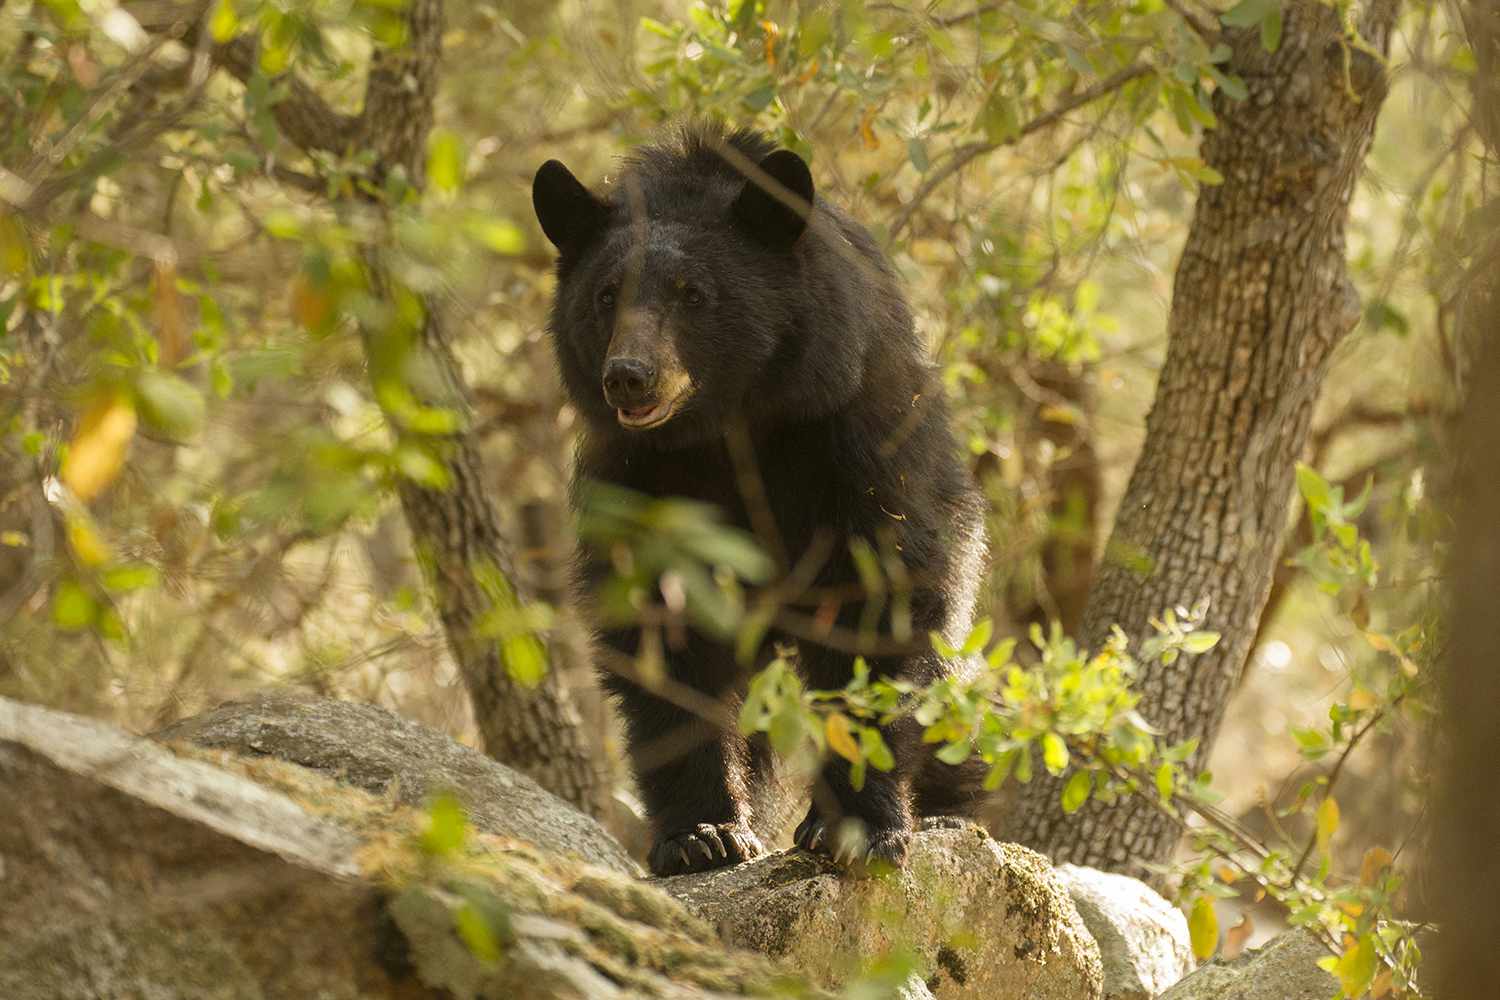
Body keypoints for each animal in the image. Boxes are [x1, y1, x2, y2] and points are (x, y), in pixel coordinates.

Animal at [534, 125, 990, 875]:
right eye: (604, 296)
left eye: (693, 294)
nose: (628, 376)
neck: (732, 423)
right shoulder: (641, 476)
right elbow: (663, 628)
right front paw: (701, 834)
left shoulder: (851, 433)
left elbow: (880, 599)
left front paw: (855, 827)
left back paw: (948, 812)